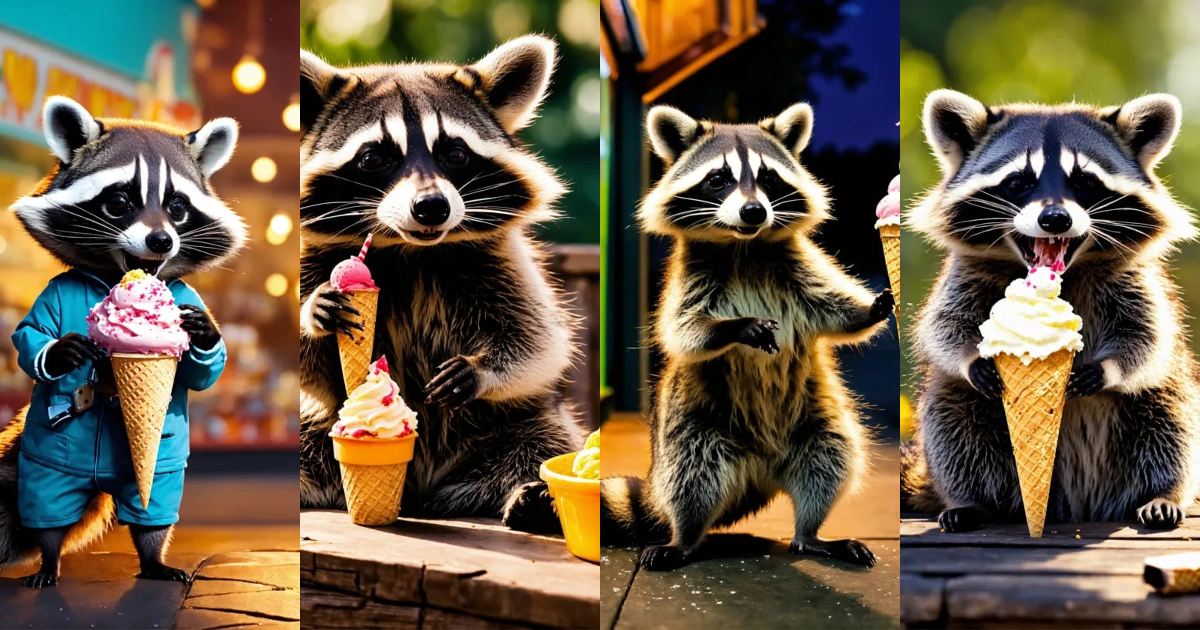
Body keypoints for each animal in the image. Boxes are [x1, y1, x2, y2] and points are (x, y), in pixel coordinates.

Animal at [0, 96, 243, 586]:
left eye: (178, 207)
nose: (161, 240)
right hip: (47, 462)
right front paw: (58, 351)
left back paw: (153, 556)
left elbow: (203, 371)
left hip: (163, 463)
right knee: (48, 504)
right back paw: (49, 558)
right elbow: (30, 334)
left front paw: (207, 334)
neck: (115, 275)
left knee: (154, 506)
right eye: (118, 202)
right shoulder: (54, 293)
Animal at [298, 36, 584, 533]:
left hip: (522, 423)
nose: (431, 206)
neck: (410, 249)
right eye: (374, 158)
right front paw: (313, 312)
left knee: (544, 444)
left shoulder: (505, 265)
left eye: (455, 153)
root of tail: (418, 488)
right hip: (315, 437)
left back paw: (538, 499)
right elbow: (311, 369)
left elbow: (538, 342)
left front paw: (481, 368)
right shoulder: (313, 260)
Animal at [600, 104, 895, 570]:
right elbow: (683, 331)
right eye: (718, 179)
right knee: (691, 475)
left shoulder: (800, 269)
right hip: (693, 422)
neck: (745, 244)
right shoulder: (689, 278)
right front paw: (737, 327)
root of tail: (761, 471)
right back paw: (685, 537)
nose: (754, 212)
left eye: (768, 178)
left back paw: (810, 533)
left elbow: (837, 312)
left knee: (831, 458)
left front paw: (872, 307)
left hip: (817, 417)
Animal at [903, 89, 1200, 532]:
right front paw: (971, 359)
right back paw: (971, 500)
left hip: (1163, 404)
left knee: (1170, 417)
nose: (1055, 219)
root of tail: (1081, 504)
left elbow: (1146, 337)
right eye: (1019, 182)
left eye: (1085, 182)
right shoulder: (965, 274)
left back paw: (1163, 492)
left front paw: (1107, 368)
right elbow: (945, 326)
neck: (1062, 275)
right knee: (953, 418)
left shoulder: (1135, 280)